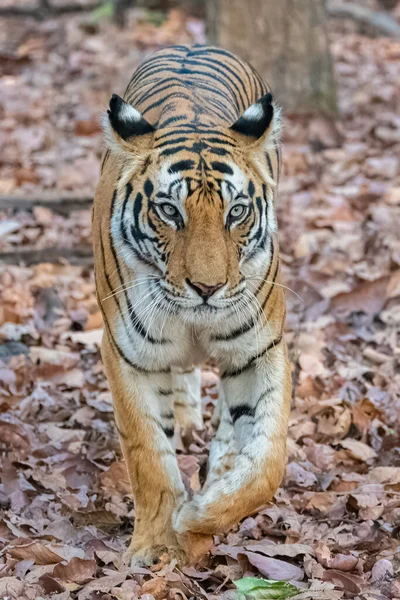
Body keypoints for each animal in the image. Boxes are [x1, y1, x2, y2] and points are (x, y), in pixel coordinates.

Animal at [93, 44, 290, 564]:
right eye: (169, 211)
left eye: (236, 212)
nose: (207, 287)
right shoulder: (129, 355)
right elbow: (147, 453)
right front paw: (154, 545)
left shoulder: (258, 348)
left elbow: (268, 462)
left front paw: (202, 514)